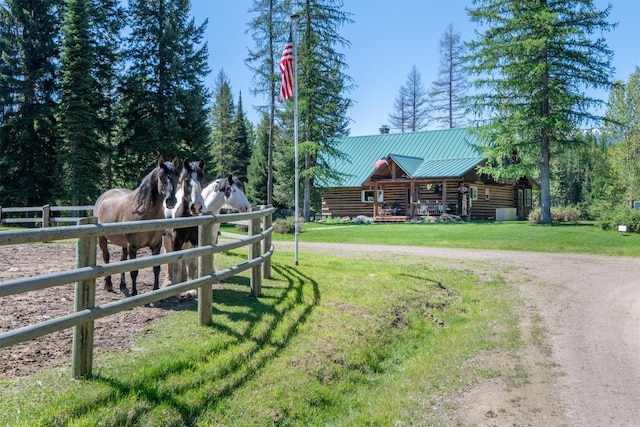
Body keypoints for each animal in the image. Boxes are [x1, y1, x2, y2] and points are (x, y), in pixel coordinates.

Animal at [92, 155, 179, 296]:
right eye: (161, 177)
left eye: (177, 176)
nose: (171, 201)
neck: (145, 212)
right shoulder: (133, 247)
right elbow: (134, 271)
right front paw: (134, 293)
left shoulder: (156, 245)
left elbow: (156, 268)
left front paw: (155, 290)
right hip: (103, 239)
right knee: (106, 258)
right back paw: (108, 285)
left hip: (123, 244)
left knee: (122, 261)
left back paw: (122, 286)